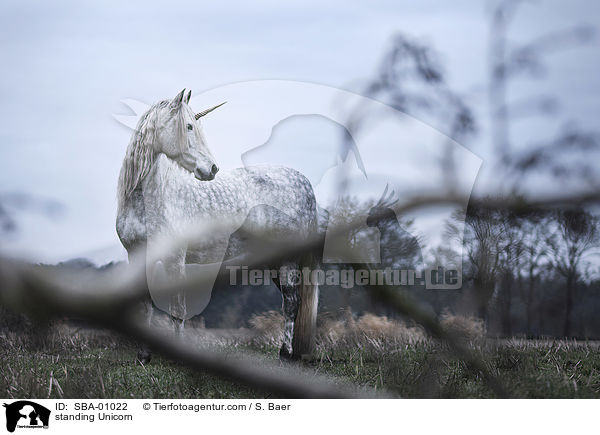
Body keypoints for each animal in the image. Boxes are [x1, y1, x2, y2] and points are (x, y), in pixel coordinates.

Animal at [118, 88, 324, 362]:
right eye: (188, 126)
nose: (212, 168)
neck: (148, 199)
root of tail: (304, 182)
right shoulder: (137, 257)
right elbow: (145, 308)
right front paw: (143, 357)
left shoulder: (174, 260)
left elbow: (177, 310)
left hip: (288, 260)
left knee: (291, 302)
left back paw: (285, 354)